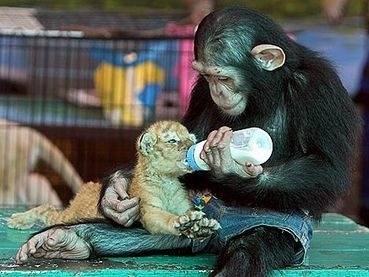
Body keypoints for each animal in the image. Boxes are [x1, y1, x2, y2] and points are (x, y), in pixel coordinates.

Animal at [15, 5, 360, 276]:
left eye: (224, 77)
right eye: (207, 77)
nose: (218, 92)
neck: (268, 87)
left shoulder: (321, 89)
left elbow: (326, 167)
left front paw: (227, 167)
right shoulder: (197, 95)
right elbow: (186, 132)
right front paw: (115, 194)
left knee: (247, 250)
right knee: (133, 232)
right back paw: (66, 240)